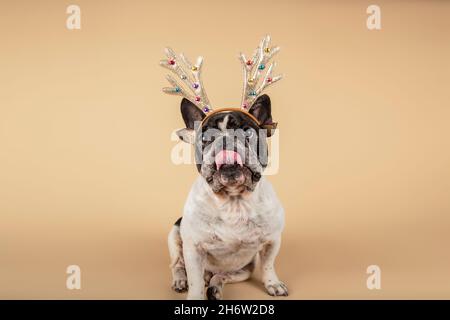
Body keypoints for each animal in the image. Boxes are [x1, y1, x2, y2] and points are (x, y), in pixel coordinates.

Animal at [163, 36, 286, 298]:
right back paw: (180, 280)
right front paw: (194, 295)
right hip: (175, 234)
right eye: (205, 138)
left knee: (221, 275)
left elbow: (269, 264)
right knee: (178, 265)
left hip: (243, 271)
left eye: (248, 132)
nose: (227, 140)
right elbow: (195, 280)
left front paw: (272, 283)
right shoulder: (193, 248)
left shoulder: (272, 240)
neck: (234, 201)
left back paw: (216, 286)